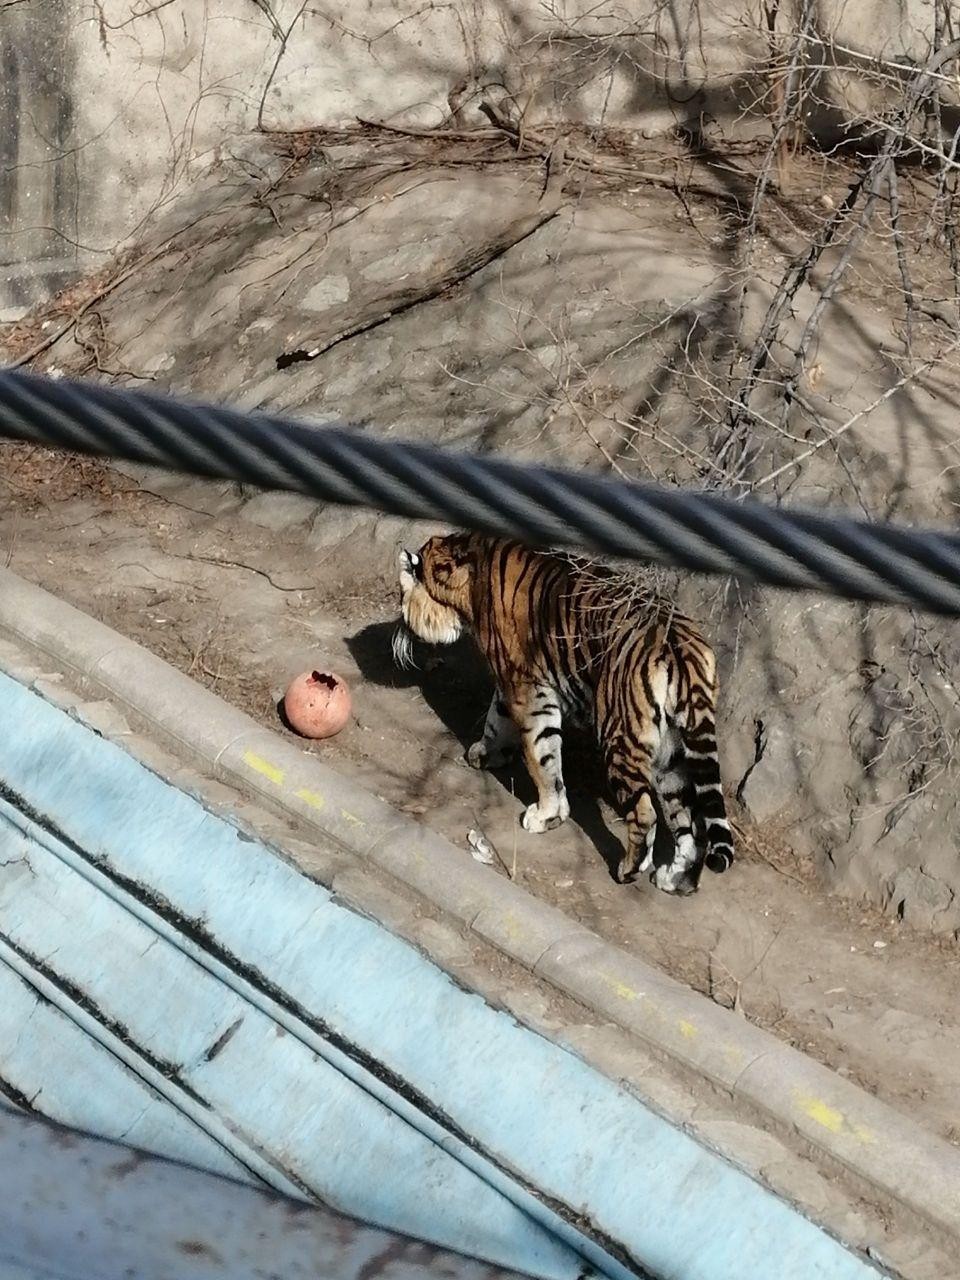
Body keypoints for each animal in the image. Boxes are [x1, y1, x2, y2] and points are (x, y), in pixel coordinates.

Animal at [391, 535, 737, 896]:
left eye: (402, 596)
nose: (399, 626)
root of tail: (684, 644)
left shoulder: (529, 692)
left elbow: (541, 758)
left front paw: (546, 816)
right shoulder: (513, 684)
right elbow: (496, 719)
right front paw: (485, 754)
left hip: (621, 738)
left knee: (645, 813)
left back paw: (629, 870)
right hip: (673, 756)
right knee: (692, 822)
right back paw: (675, 880)